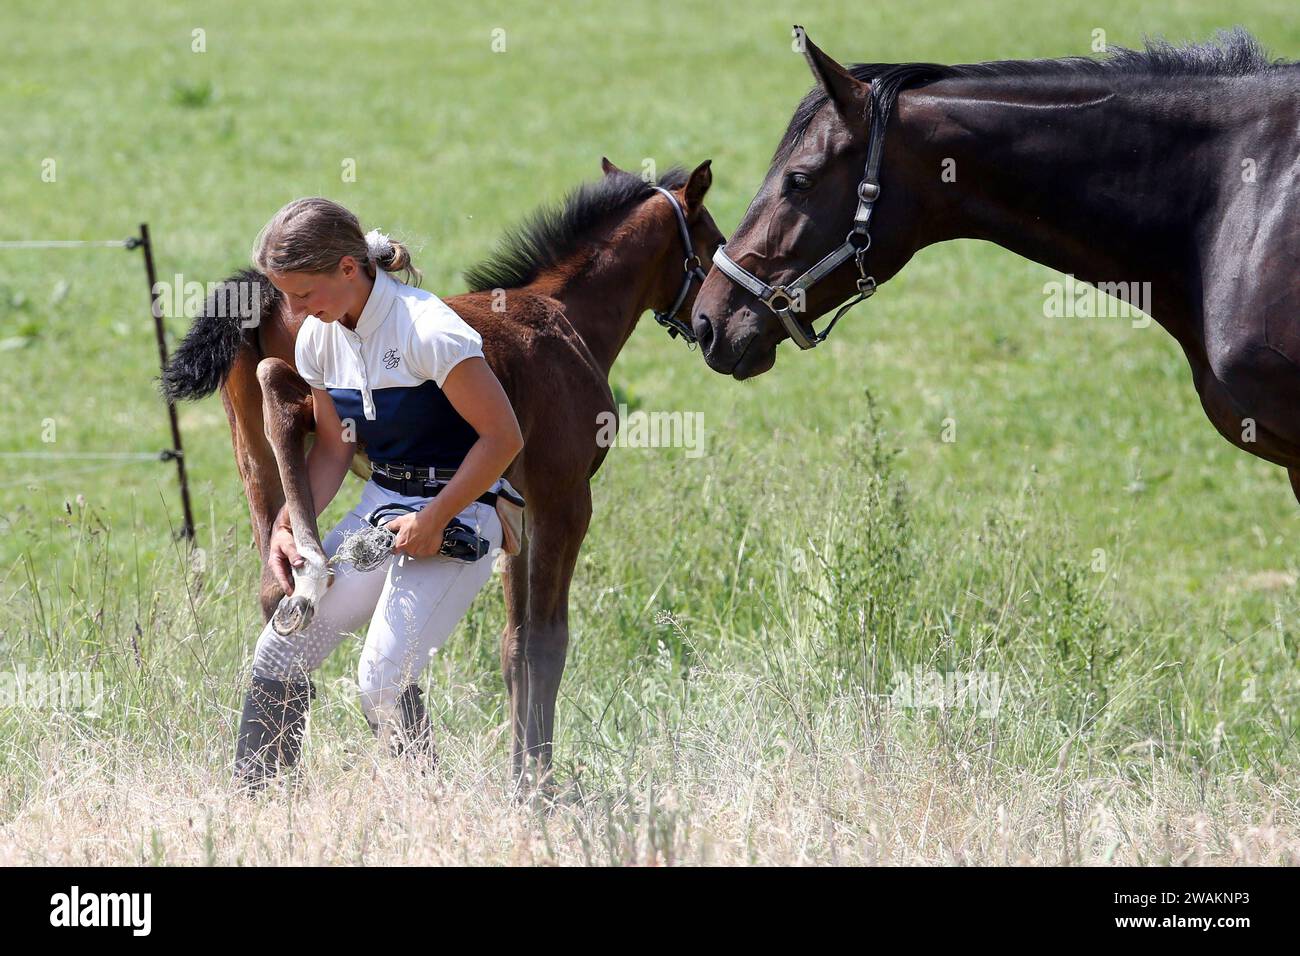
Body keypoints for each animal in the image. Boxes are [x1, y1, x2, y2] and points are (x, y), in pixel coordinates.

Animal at [162, 159, 725, 787]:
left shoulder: (518, 508)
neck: (564, 316)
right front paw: (538, 788)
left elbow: (514, 645)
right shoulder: (564, 497)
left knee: (271, 582)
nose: (718, 327)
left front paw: (522, 775)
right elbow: (544, 643)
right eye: (714, 243)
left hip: (254, 454)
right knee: (281, 390)